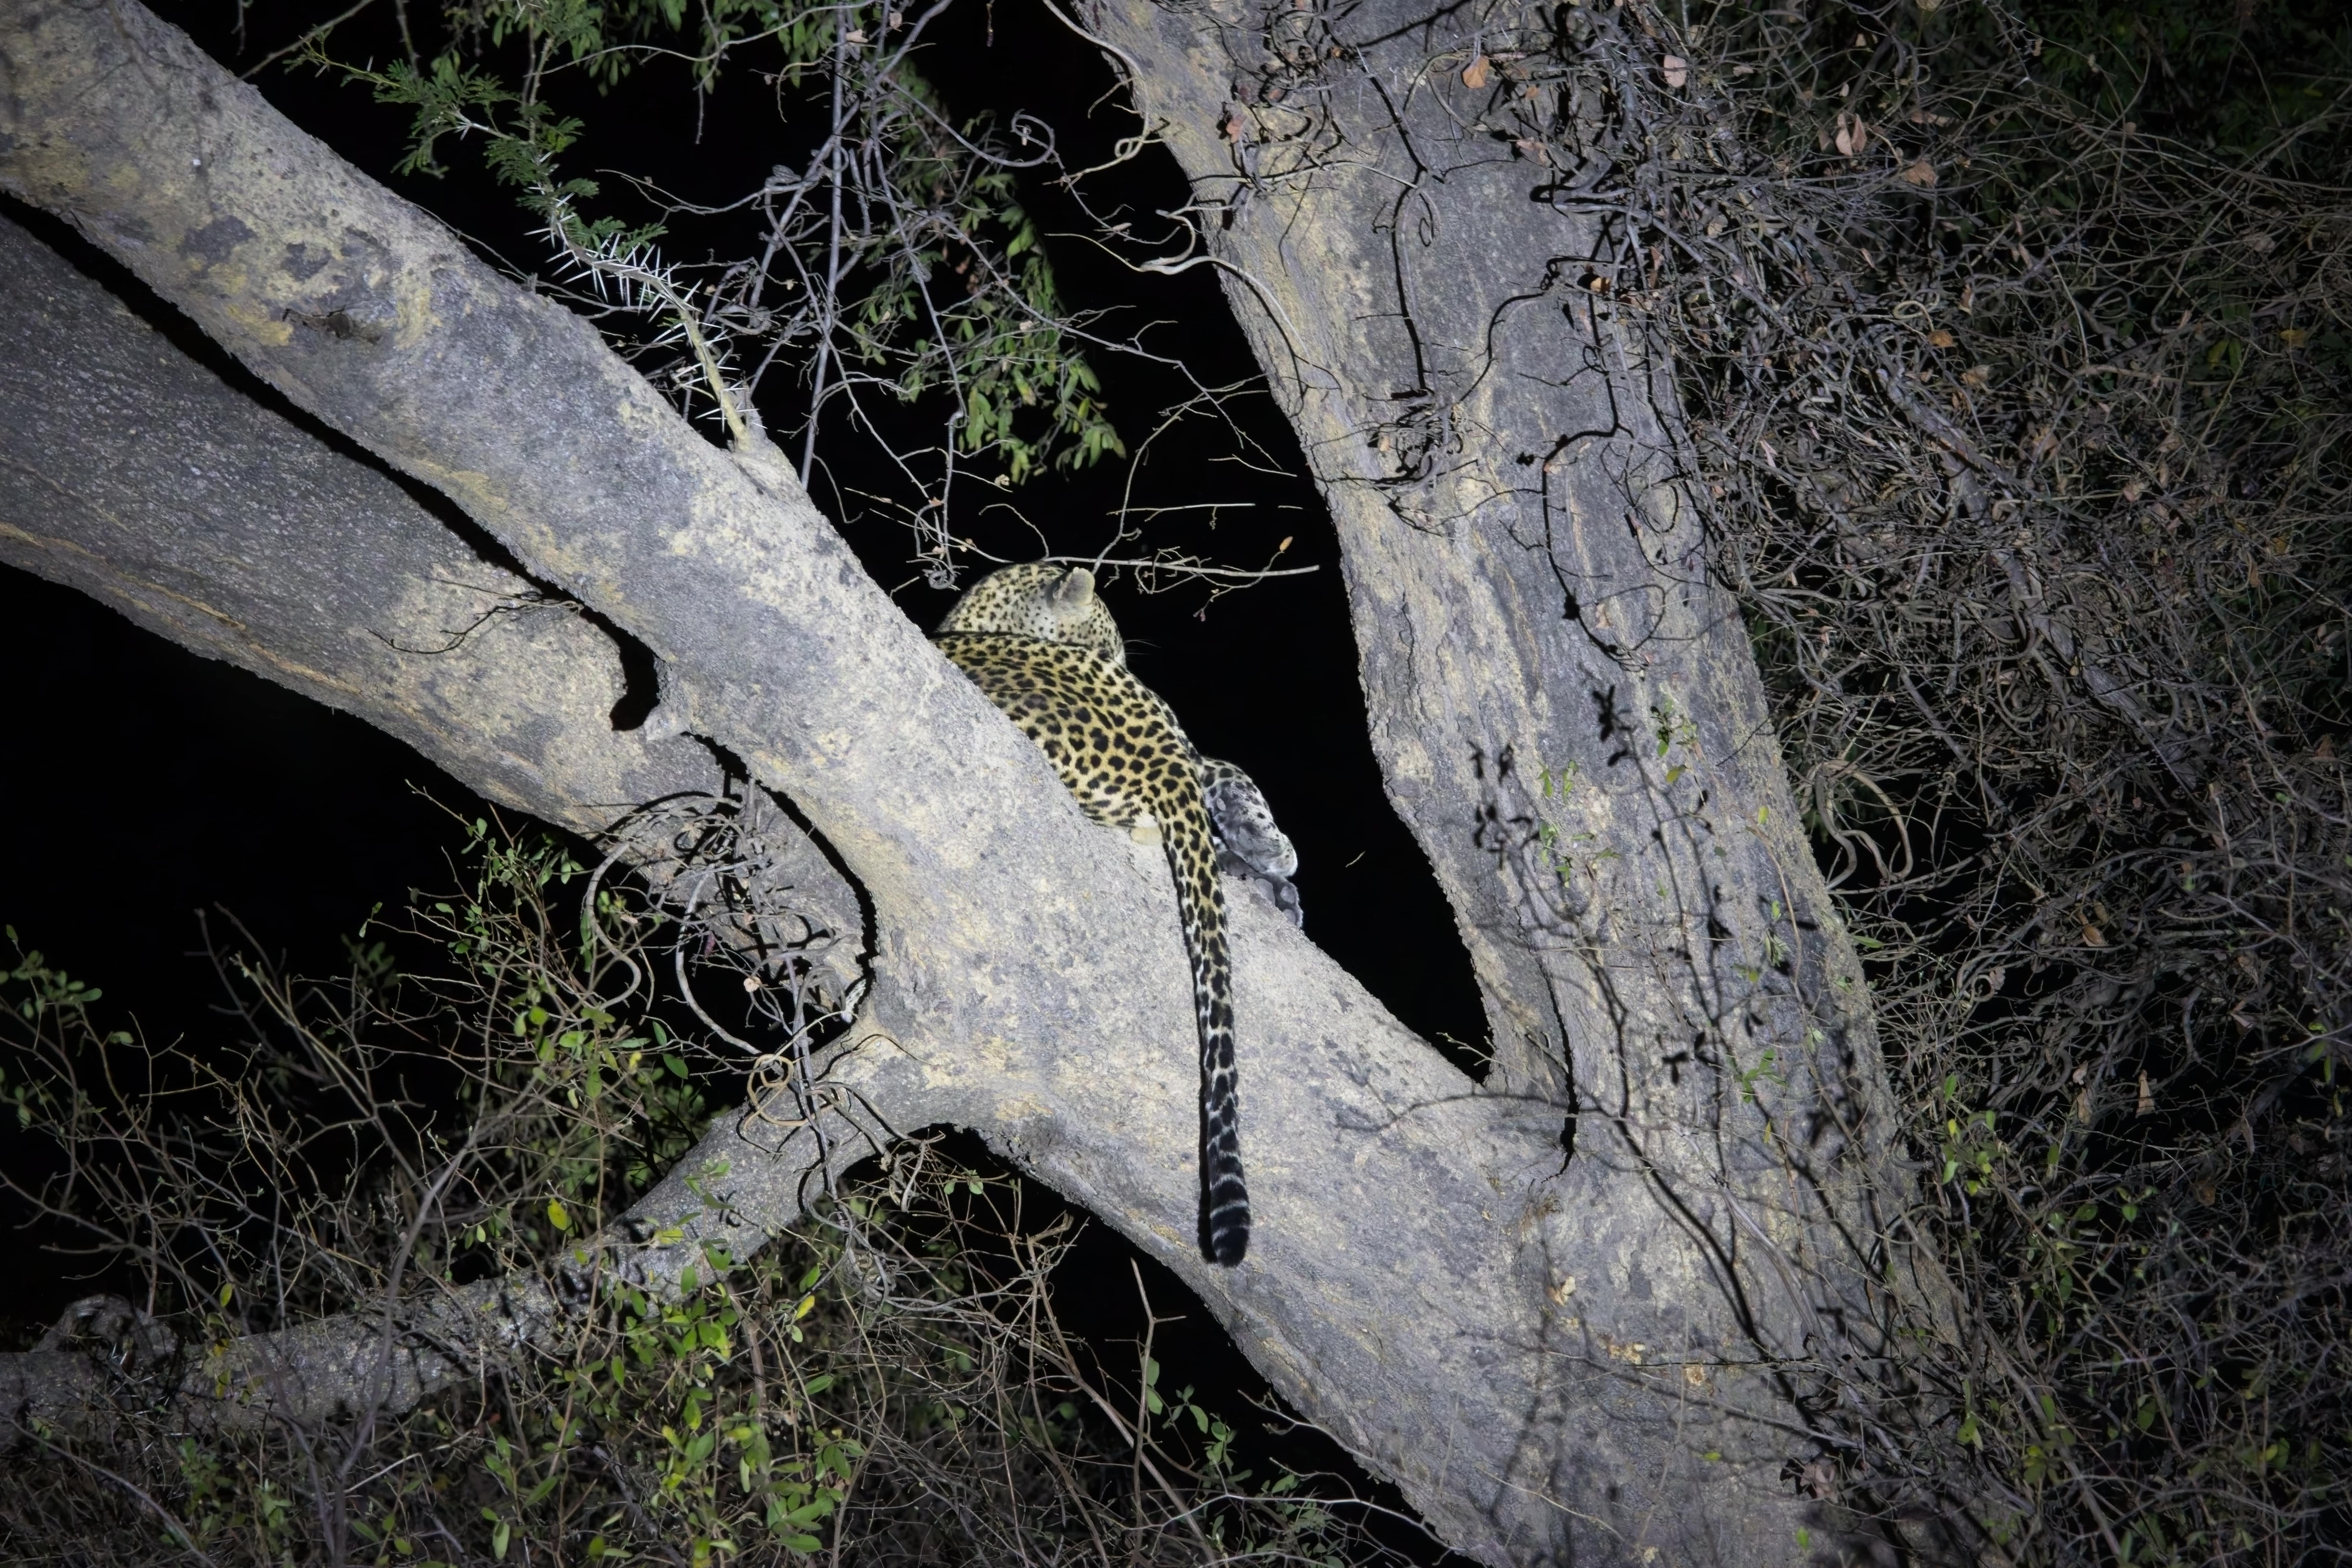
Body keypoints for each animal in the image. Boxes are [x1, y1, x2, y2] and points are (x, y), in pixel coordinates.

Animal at [936, 564, 1307, 1260]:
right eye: (1111, 645)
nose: (1119, 662)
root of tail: (1154, 761)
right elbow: (1230, 779)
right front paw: (1272, 856)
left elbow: (1233, 777)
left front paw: (1269, 850)